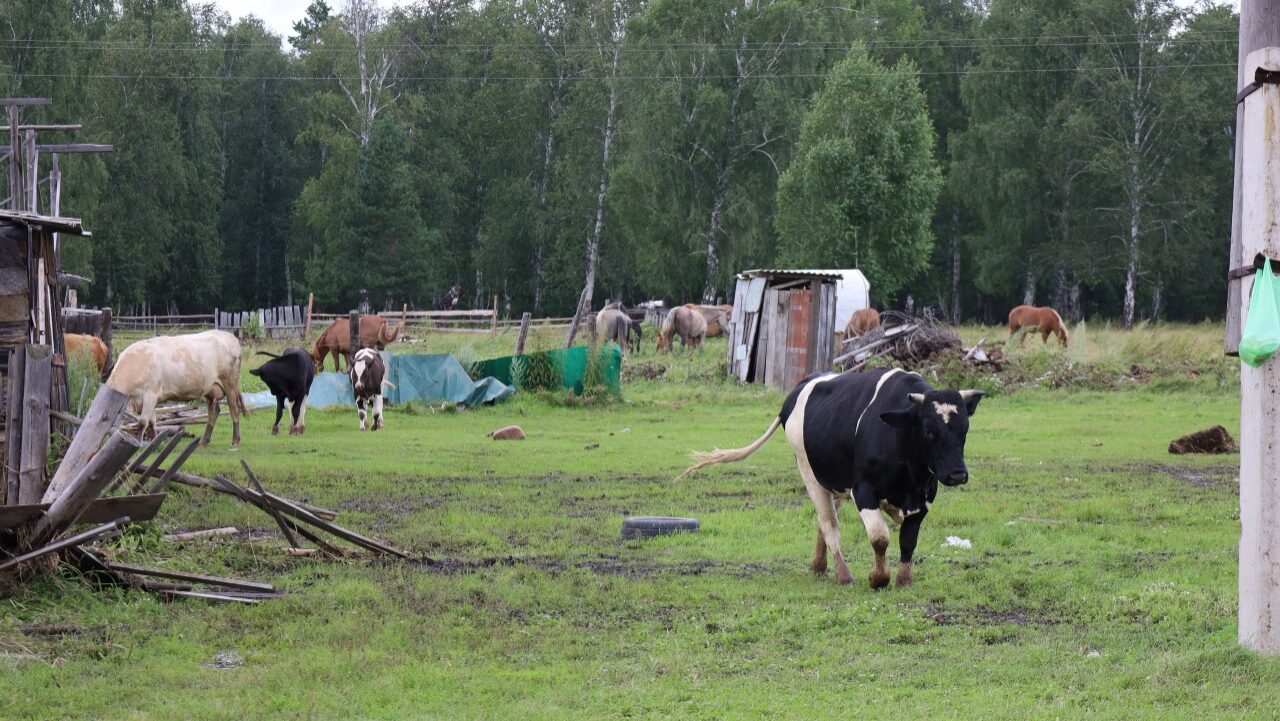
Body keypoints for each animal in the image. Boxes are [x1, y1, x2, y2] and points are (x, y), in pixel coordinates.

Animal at [107, 330, 249, 445]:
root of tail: (231, 337)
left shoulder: (150, 395)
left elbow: (142, 422)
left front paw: (138, 442)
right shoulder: (148, 399)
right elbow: (152, 423)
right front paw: (153, 443)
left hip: (230, 383)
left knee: (234, 409)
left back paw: (235, 441)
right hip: (211, 388)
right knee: (213, 413)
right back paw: (204, 441)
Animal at [686, 368, 983, 589]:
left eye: (965, 429)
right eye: (929, 430)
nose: (957, 473)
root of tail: (799, 389)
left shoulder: (924, 498)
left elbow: (908, 540)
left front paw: (904, 580)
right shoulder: (863, 491)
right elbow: (879, 537)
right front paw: (878, 578)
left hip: (833, 482)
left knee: (823, 520)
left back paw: (819, 565)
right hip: (810, 473)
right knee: (829, 523)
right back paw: (842, 574)